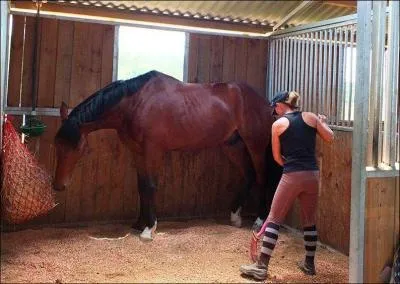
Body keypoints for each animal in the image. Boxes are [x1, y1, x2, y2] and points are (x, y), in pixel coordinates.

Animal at [53, 69, 282, 240]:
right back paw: (235, 217)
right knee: (249, 175)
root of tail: (265, 102)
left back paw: (259, 220)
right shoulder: (138, 152)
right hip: (232, 145)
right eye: (57, 145)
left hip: (255, 145)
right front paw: (139, 223)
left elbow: (150, 186)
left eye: (78, 148)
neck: (136, 104)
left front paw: (149, 229)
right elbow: (141, 186)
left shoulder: (152, 150)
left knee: (262, 178)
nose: (58, 185)